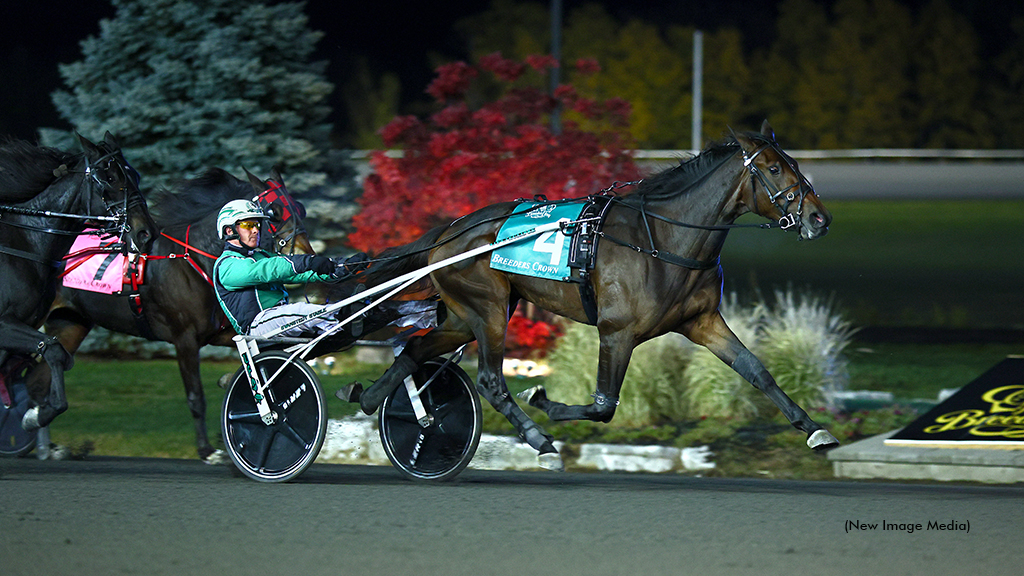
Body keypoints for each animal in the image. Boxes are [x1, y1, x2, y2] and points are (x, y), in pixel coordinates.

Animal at [0, 133, 149, 430]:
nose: (144, 231)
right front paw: (37, 415)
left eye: (134, 175)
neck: (24, 244)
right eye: (110, 178)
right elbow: (55, 351)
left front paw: (37, 413)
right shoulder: (3, 325)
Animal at [40, 167, 311, 461]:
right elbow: (196, 396)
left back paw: (48, 445)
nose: (305, 254)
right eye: (273, 212)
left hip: (69, 325)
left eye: (300, 207)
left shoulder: (223, 331)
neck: (194, 261)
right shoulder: (185, 339)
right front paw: (207, 450)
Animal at [348, 120, 835, 467]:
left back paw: (374, 400)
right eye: (774, 168)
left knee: (416, 350)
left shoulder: (702, 321)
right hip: (486, 309)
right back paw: (539, 440)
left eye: (795, 164)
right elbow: (603, 407)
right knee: (489, 380)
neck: (662, 239)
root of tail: (449, 230)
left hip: (464, 315)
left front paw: (814, 428)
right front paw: (544, 402)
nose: (819, 219)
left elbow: (757, 370)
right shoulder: (616, 331)